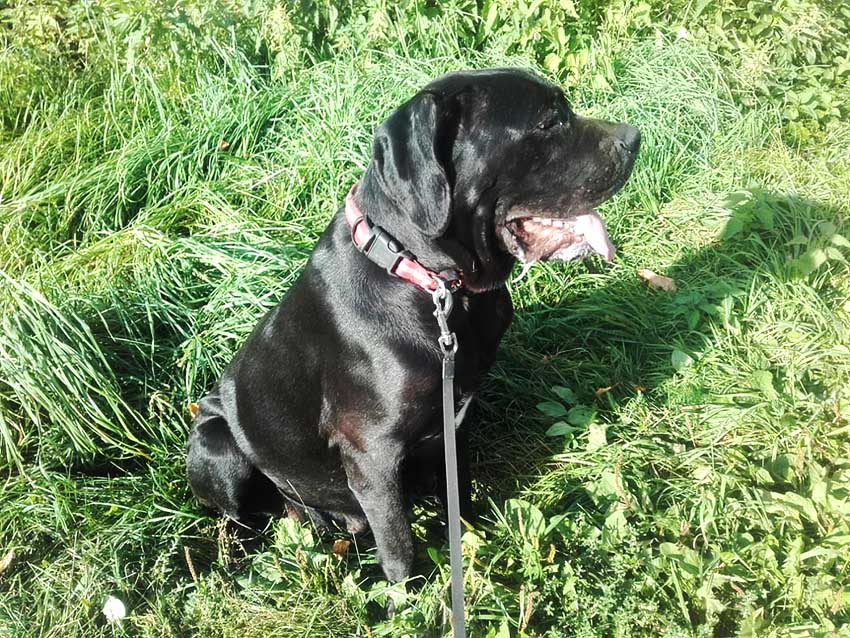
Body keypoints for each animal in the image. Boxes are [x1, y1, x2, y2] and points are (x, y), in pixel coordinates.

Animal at [186, 68, 640, 582]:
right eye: (547, 122)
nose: (635, 138)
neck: (432, 283)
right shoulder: (372, 454)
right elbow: (399, 544)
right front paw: (413, 591)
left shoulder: (454, 422)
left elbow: (457, 490)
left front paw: (471, 541)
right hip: (217, 443)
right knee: (244, 516)